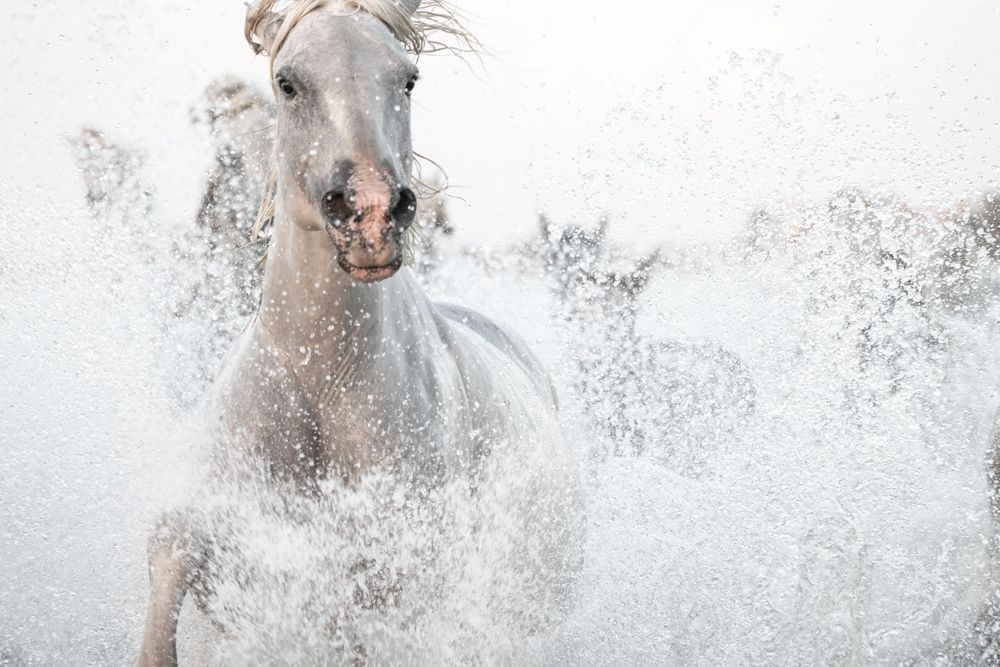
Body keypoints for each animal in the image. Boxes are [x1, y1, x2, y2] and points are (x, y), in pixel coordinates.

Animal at [136, 2, 584, 664]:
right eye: (288, 82)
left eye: (408, 78)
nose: (370, 215)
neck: (322, 378)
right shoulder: (215, 528)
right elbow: (170, 560)